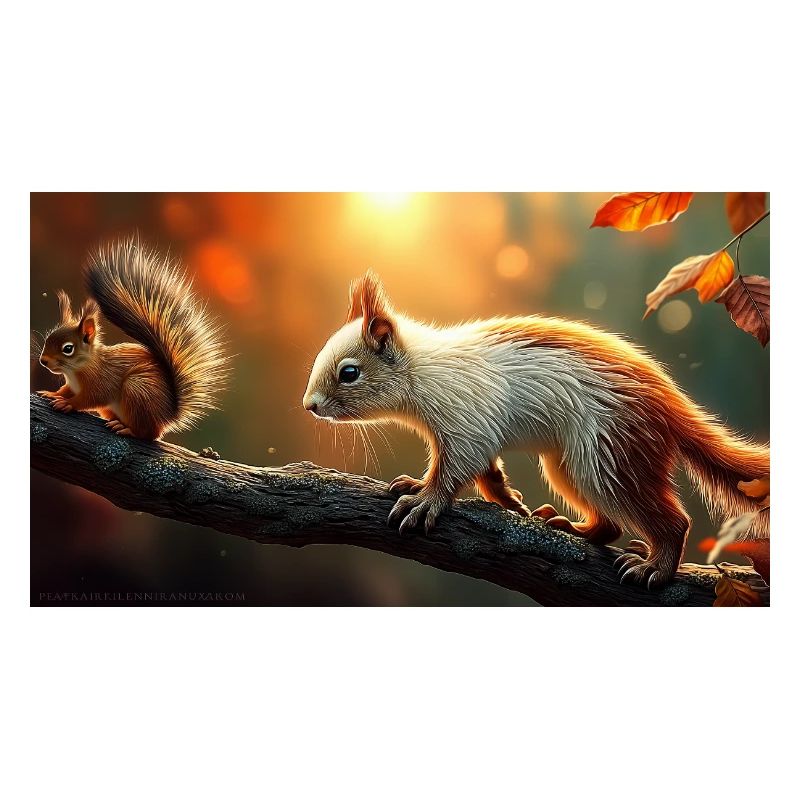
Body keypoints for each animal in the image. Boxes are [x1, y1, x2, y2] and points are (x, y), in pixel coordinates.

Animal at [37, 237, 227, 440]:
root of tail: (166, 416)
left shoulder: (103, 381)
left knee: (148, 433)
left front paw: (69, 404)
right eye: (48, 339)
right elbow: (66, 391)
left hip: (137, 389)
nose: (43, 361)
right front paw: (52, 393)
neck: (76, 370)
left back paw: (127, 429)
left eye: (68, 349)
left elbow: (91, 398)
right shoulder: (72, 386)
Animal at [302, 272, 770, 589]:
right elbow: (487, 470)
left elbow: (457, 467)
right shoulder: (474, 427)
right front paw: (505, 499)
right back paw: (573, 528)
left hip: (608, 453)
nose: (310, 406)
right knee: (609, 526)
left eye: (349, 373)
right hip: (569, 465)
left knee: (672, 521)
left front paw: (424, 500)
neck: (426, 369)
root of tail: (669, 404)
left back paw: (655, 566)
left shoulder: (466, 416)